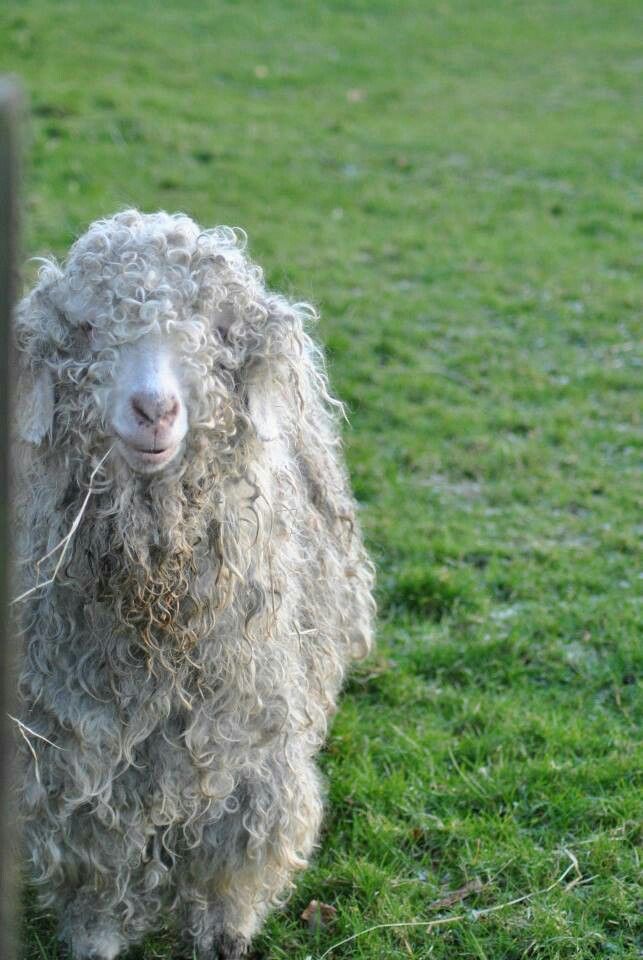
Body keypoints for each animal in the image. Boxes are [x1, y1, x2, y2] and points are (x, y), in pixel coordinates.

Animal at [13, 210, 378, 960]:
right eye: (84, 327)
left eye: (218, 329)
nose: (153, 408)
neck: (153, 610)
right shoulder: (72, 742)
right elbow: (94, 854)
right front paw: (95, 935)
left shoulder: (247, 733)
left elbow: (233, 849)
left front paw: (224, 933)